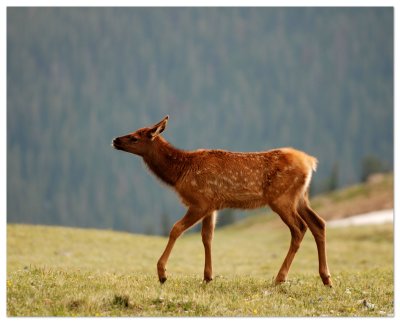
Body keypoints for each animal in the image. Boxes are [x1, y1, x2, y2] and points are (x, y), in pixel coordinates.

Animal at [111, 116, 332, 286]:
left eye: (135, 137)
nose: (115, 139)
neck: (179, 173)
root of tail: (310, 162)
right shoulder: (212, 206)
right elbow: (207, 237)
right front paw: (208, 277)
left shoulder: (200, 201)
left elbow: (176, 229)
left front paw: (162, 273)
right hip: (301, 197)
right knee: (318, 223)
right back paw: (326, 278)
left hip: (281, 198)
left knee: (299, 228)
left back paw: (280, 278)